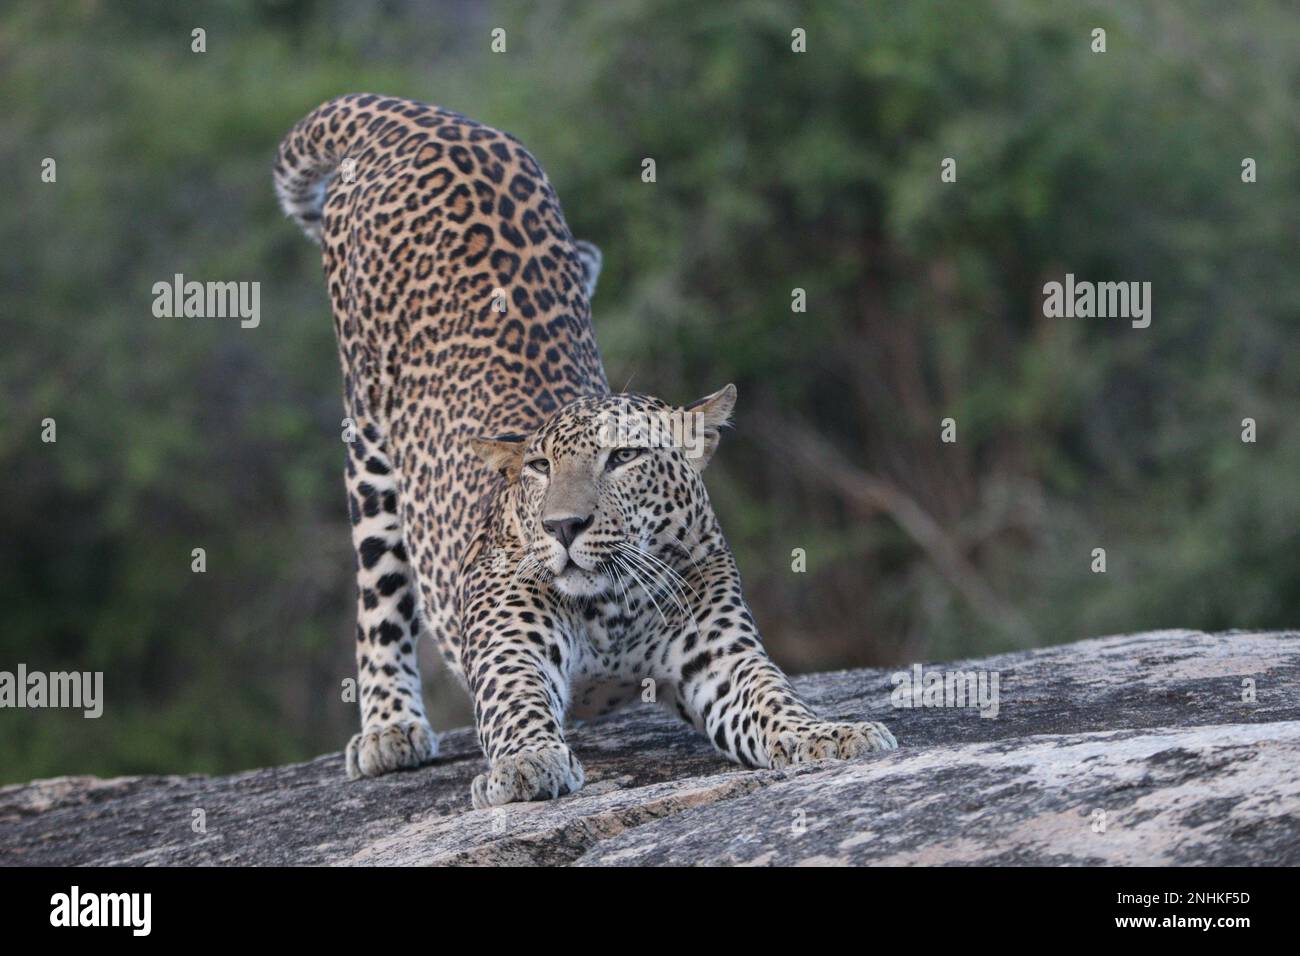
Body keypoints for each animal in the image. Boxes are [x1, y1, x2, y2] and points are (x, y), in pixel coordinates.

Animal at [275, 93, 899, 806]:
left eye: (623, 457)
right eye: (540, 467)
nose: (564, 527)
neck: (615, 606)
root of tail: (411, 113)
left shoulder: (722, 657)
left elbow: (774, 701)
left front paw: (834, 733)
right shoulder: (510, 639)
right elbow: (516, 703)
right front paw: (527, 765)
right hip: (368, 439)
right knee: (378, 594)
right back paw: (389, 729)